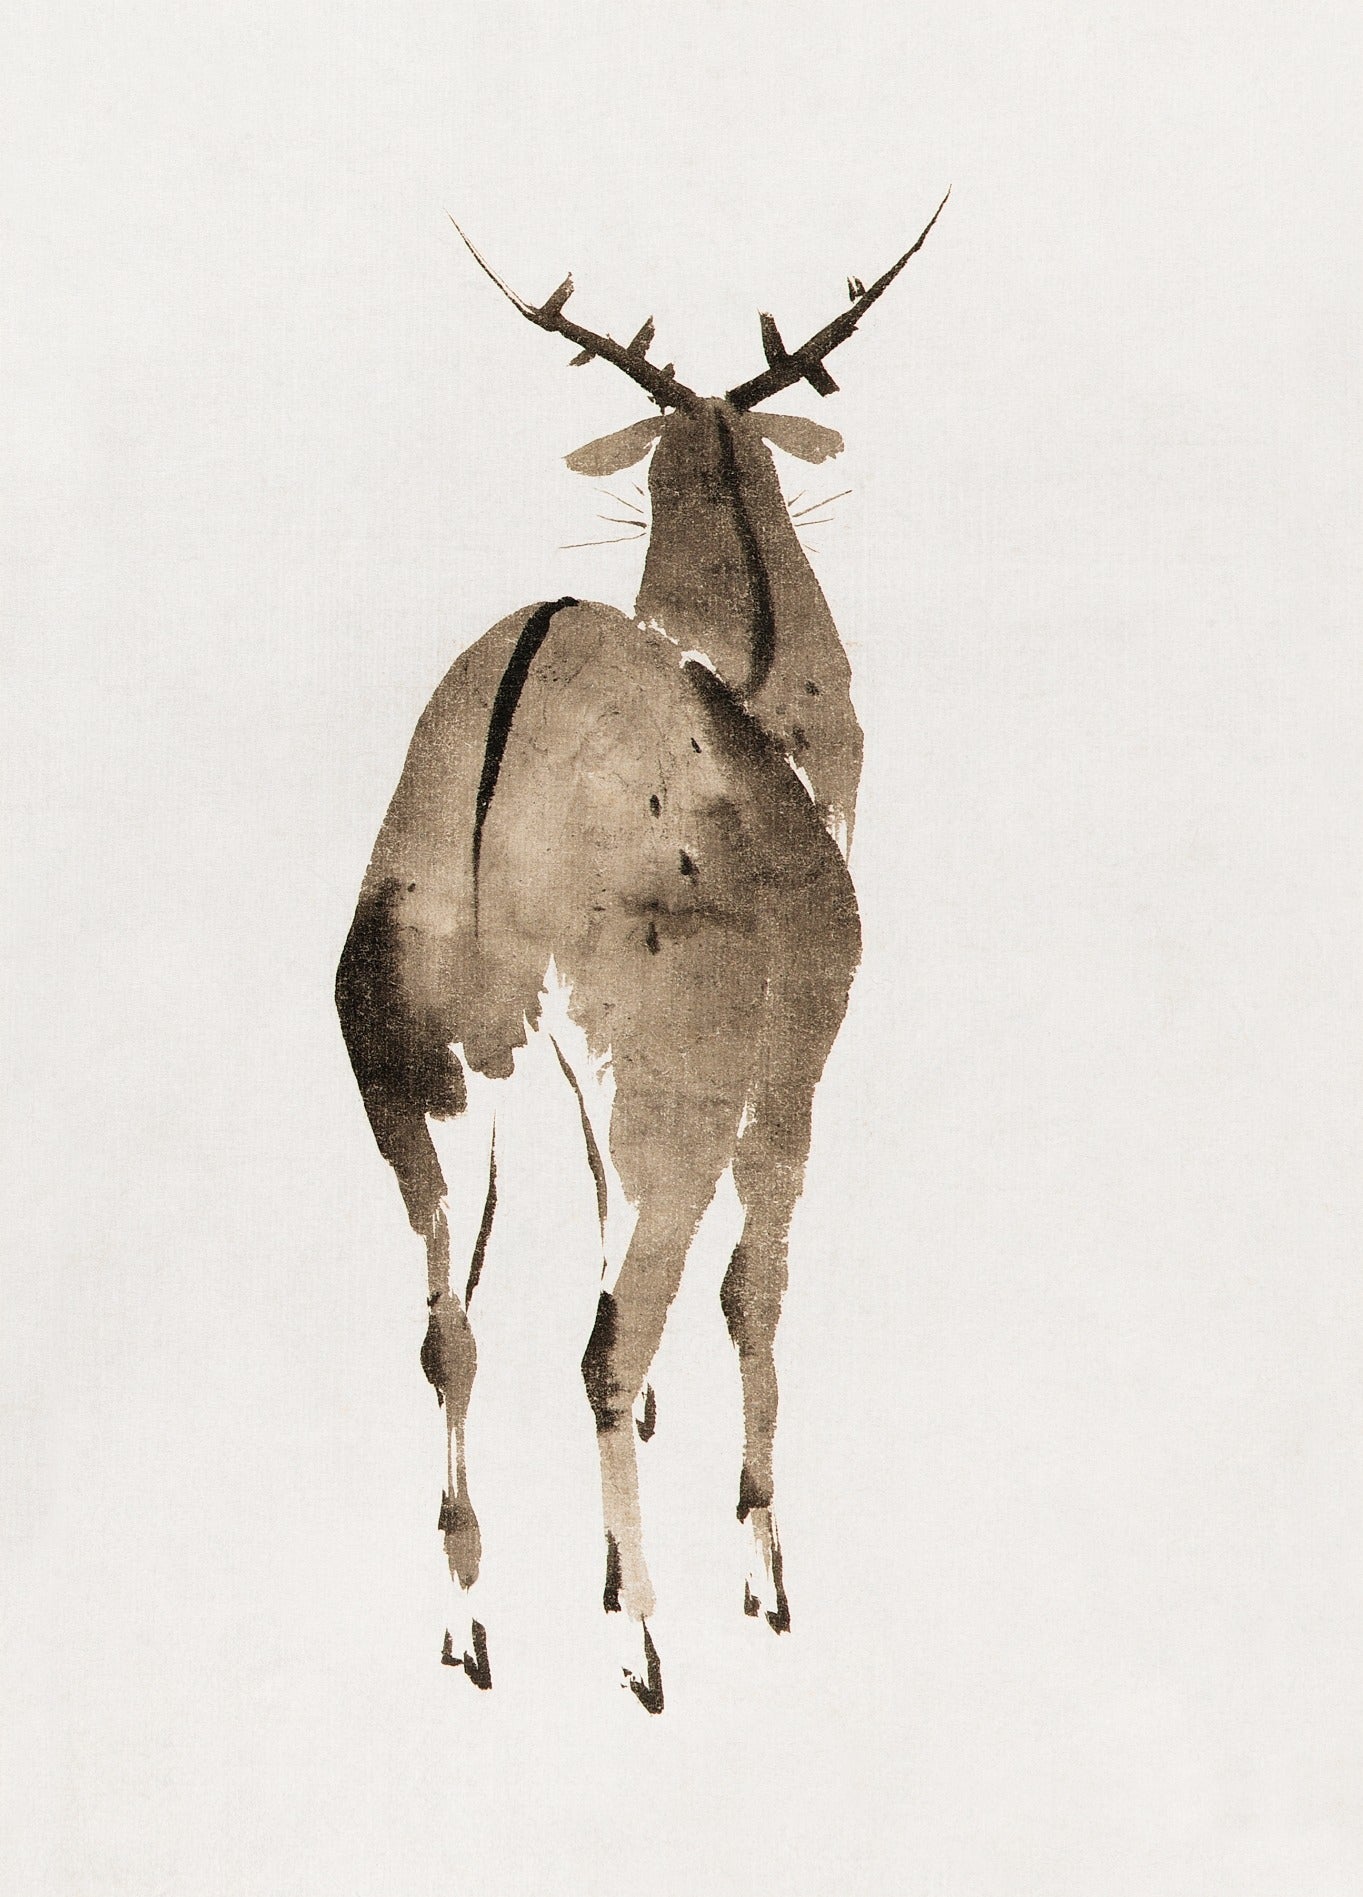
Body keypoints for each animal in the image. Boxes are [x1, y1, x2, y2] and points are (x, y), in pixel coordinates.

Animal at [335, 193, 948, 1712]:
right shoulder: (790, 1067)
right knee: (611, 1335)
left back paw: (470, 1627)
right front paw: (762, 1576)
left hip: (408, 1071)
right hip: (663, 1076)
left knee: (449, 1330)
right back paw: (644, 1644)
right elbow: (752, 1292)